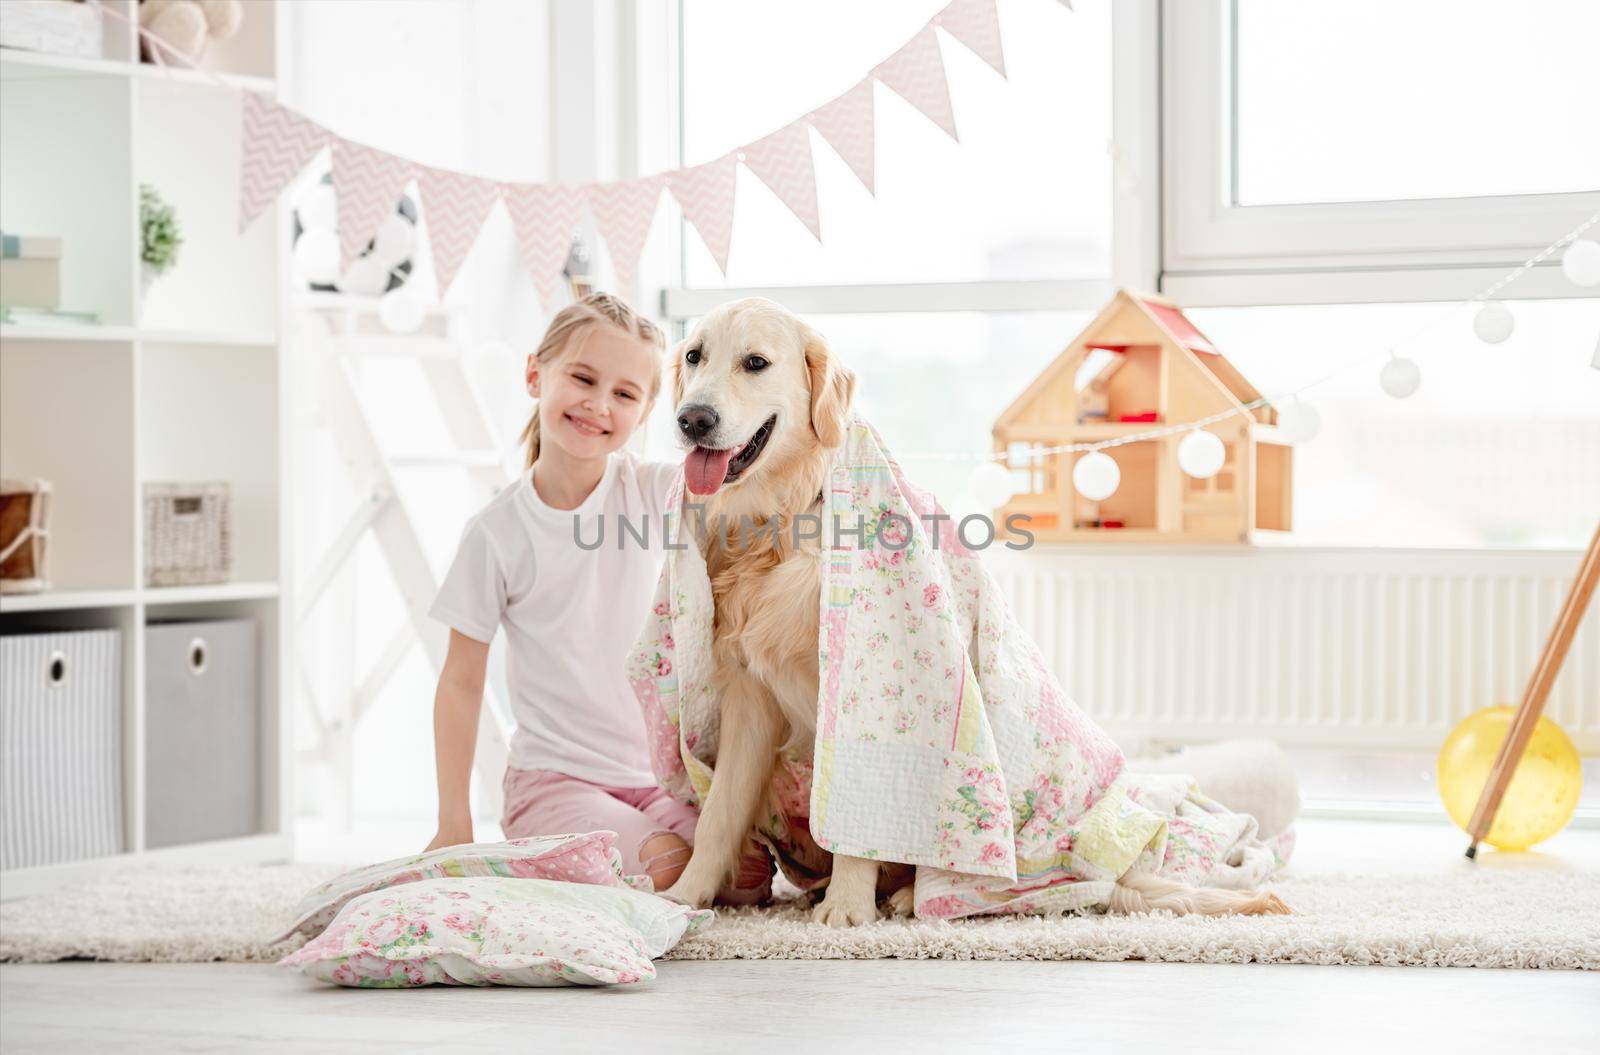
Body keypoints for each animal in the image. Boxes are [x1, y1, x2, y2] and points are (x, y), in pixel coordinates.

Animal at [656, 294, 1292, 922]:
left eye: (756, 363)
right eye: (694, 356)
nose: (692, 420)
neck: (782, 522)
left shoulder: (860, 690)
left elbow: (858, 814)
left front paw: (847, 910)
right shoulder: (750, 698)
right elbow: (719, 816)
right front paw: (685, 898)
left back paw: (910, 896)